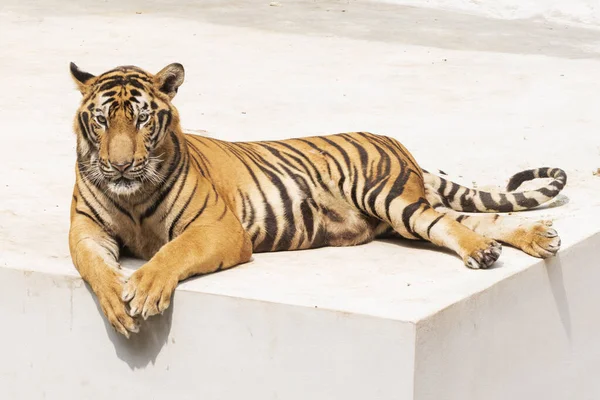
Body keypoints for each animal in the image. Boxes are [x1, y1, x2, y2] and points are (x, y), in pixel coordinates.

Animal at [69, 62, 568, 338]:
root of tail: (395, 143)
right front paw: (117, 302)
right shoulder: (86, 231)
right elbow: (95, 267)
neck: (133, 195)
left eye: (141, 120)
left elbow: (175, 251)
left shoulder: (218, 228)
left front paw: (145, 289)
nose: (119, 166)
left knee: (448, 224)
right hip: (404, 214)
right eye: (102, 120)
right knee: (469, 219)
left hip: (388, 197)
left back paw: (488, 252)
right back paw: (535, 239)